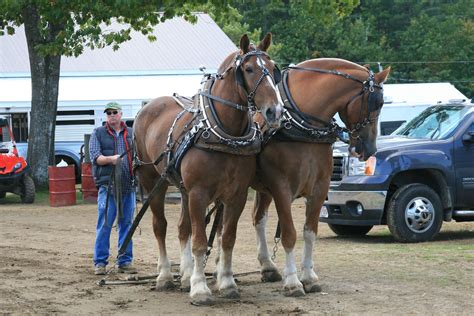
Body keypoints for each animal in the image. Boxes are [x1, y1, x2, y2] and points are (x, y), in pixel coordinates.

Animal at [133, 33, 282, 304]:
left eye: (273, 67)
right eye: (248, 69)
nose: (274, 111)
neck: (223, 132)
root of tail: (147, 107)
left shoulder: (236, 195)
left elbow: (227, 239)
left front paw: (226, 283)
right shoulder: (198, 193)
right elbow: (201, 241)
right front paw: (200, 289)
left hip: (182, 189)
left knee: (183, 228)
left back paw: (185, 275)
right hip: (152, 182)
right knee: (161, 226)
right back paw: (165, 276)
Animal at [252, 58, 388, 296]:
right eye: (378, 103)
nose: (370, 149)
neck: (302, 126)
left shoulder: (319, 188)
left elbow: (310, 232)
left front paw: (308, 277)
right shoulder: (281, 188)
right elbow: (289, 234)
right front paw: (293, 281)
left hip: (262, 190)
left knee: (258, 218)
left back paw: (268, 266)